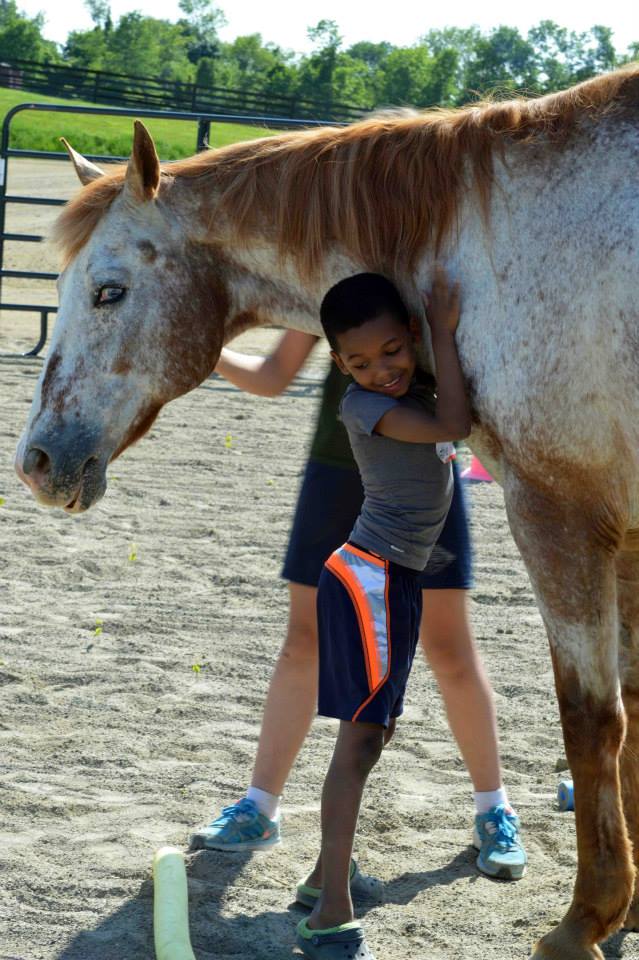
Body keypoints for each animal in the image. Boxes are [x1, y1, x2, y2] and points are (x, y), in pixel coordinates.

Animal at [14, 64, 639, 958]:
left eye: (108, 291)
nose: (34, 462)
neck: (487, 245)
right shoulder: (624, 537)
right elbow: (634, 713)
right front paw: (628, 910)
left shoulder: (559, 515)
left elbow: (589, 719)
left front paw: (584, 919)